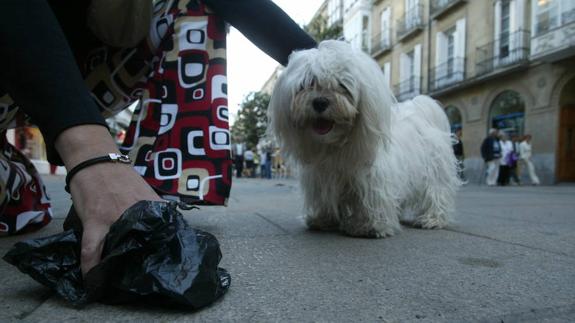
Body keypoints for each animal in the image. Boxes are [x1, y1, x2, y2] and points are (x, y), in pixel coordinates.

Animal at [268, 39, 462, 238]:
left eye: (342, 85)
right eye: (308, 83)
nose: (320, 102)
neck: (335, 145)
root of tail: (423, 112)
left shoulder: (372, 178)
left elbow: (371, 200)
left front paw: (368, 226)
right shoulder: (321, 178)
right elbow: (324, 199)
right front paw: (323, 219)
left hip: (435, 172)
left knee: (436, 193)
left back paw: (432, 219)